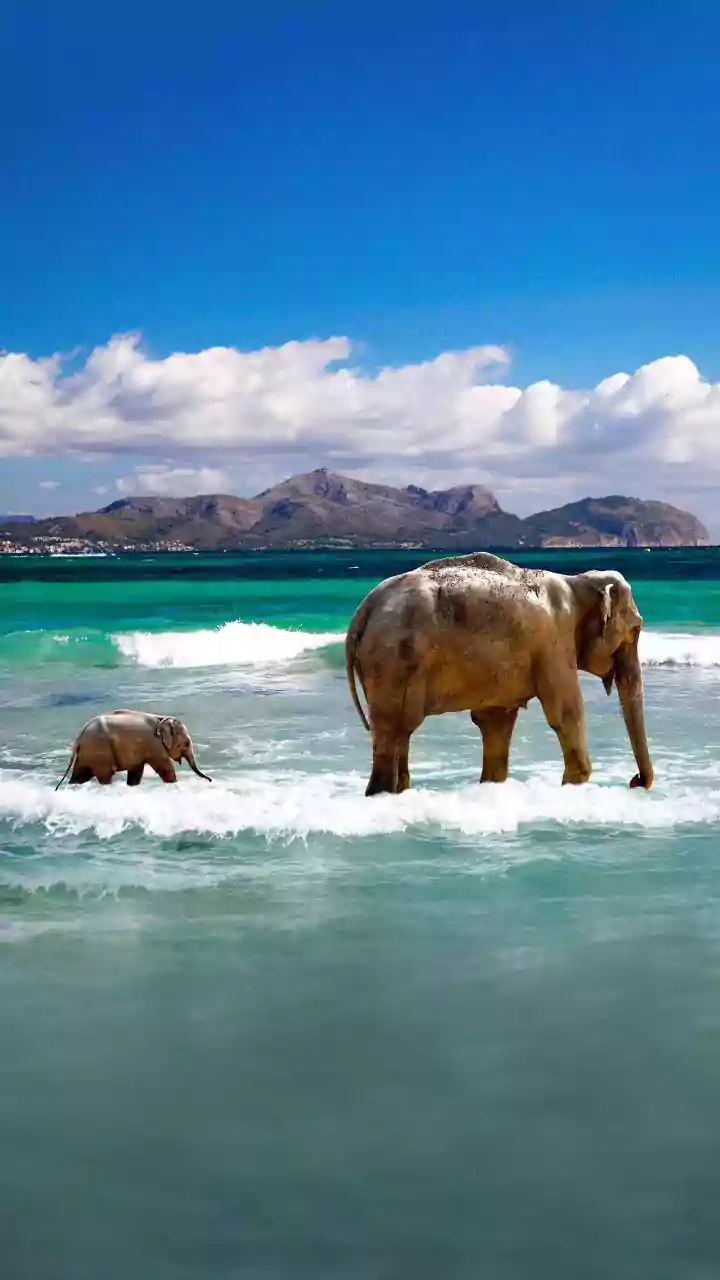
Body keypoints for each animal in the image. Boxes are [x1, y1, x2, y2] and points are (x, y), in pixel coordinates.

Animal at [55, 709, 212, 789]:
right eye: (187, 743)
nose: (210, 780)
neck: (161, 718)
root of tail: (79, 736)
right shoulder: (154, 745)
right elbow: (165, 767)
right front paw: (173, 783)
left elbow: (136, 770)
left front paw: (132, 786)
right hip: (100, 751)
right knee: (105, 775)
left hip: (87, 753)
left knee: (80, 775)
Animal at [345, 551, 653, 796]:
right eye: (637, 628)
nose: (635, 781)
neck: (576, 581)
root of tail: (365, 608)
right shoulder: (553, 643)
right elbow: (566, 712)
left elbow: (495, 721)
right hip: (392, 661)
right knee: (393, 732)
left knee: (401, 734)